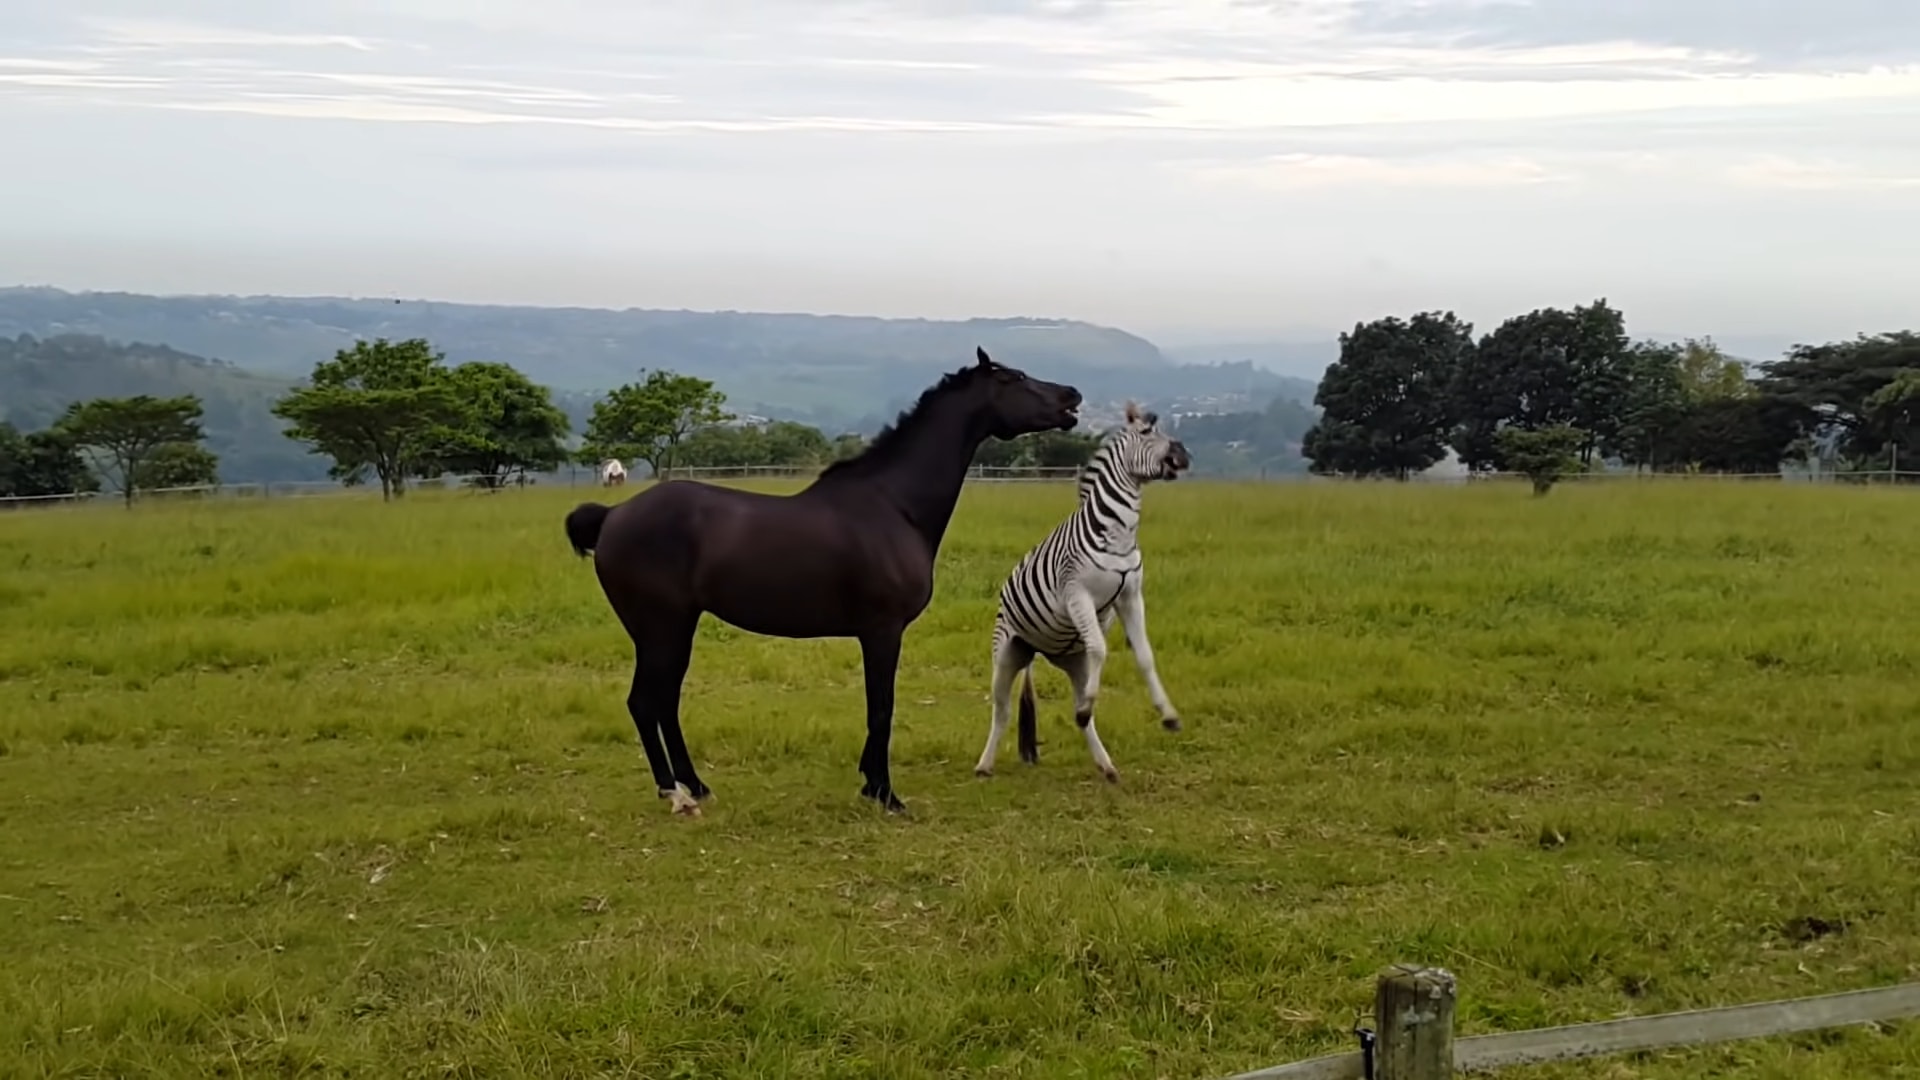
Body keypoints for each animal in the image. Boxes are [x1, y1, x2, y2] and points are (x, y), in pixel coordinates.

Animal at [564, 349, 1082, 810]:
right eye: (1015, 378)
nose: (1072, 396)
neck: (894, 505)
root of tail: (611, 516)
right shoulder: (882, 632)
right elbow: (881, 708)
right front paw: (885, 794)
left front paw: (871, 783)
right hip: (661, 629)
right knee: (644, 703)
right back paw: (674, 795)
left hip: (675, 629)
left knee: (665, 702)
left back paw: (696, 786)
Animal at [975, 399, 1182, 776]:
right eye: (1147, 432)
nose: (1184, 455)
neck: (1118, 533)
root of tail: (1035, 650)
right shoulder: (1076, 593)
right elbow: (1100, 648)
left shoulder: (1130, 596)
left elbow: (1144, 656)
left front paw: (1169, 715)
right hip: (1006, 653)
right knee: (1002, 709)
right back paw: (984, 765)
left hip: (1071, 659)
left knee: (1080, 710)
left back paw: (1106, 764)